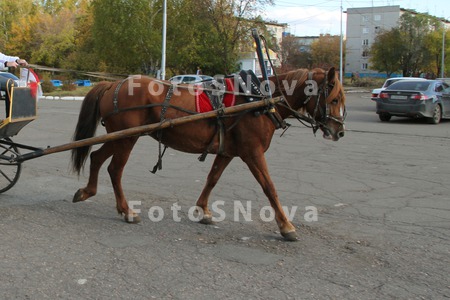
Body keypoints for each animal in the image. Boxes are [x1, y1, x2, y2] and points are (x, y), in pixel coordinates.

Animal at [71, 67, 344, 240]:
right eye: (333, 98)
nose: (339, 131)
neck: (259, 100)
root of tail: (112, 85)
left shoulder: (228, 152)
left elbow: (212, 178)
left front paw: (203, 210)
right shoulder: (253, 153)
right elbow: (269, 187)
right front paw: (286, 226)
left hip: (119, 137)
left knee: (96, 158)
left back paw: (87, 191)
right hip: (127, 138)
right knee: (114, 169)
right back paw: (127, 211)